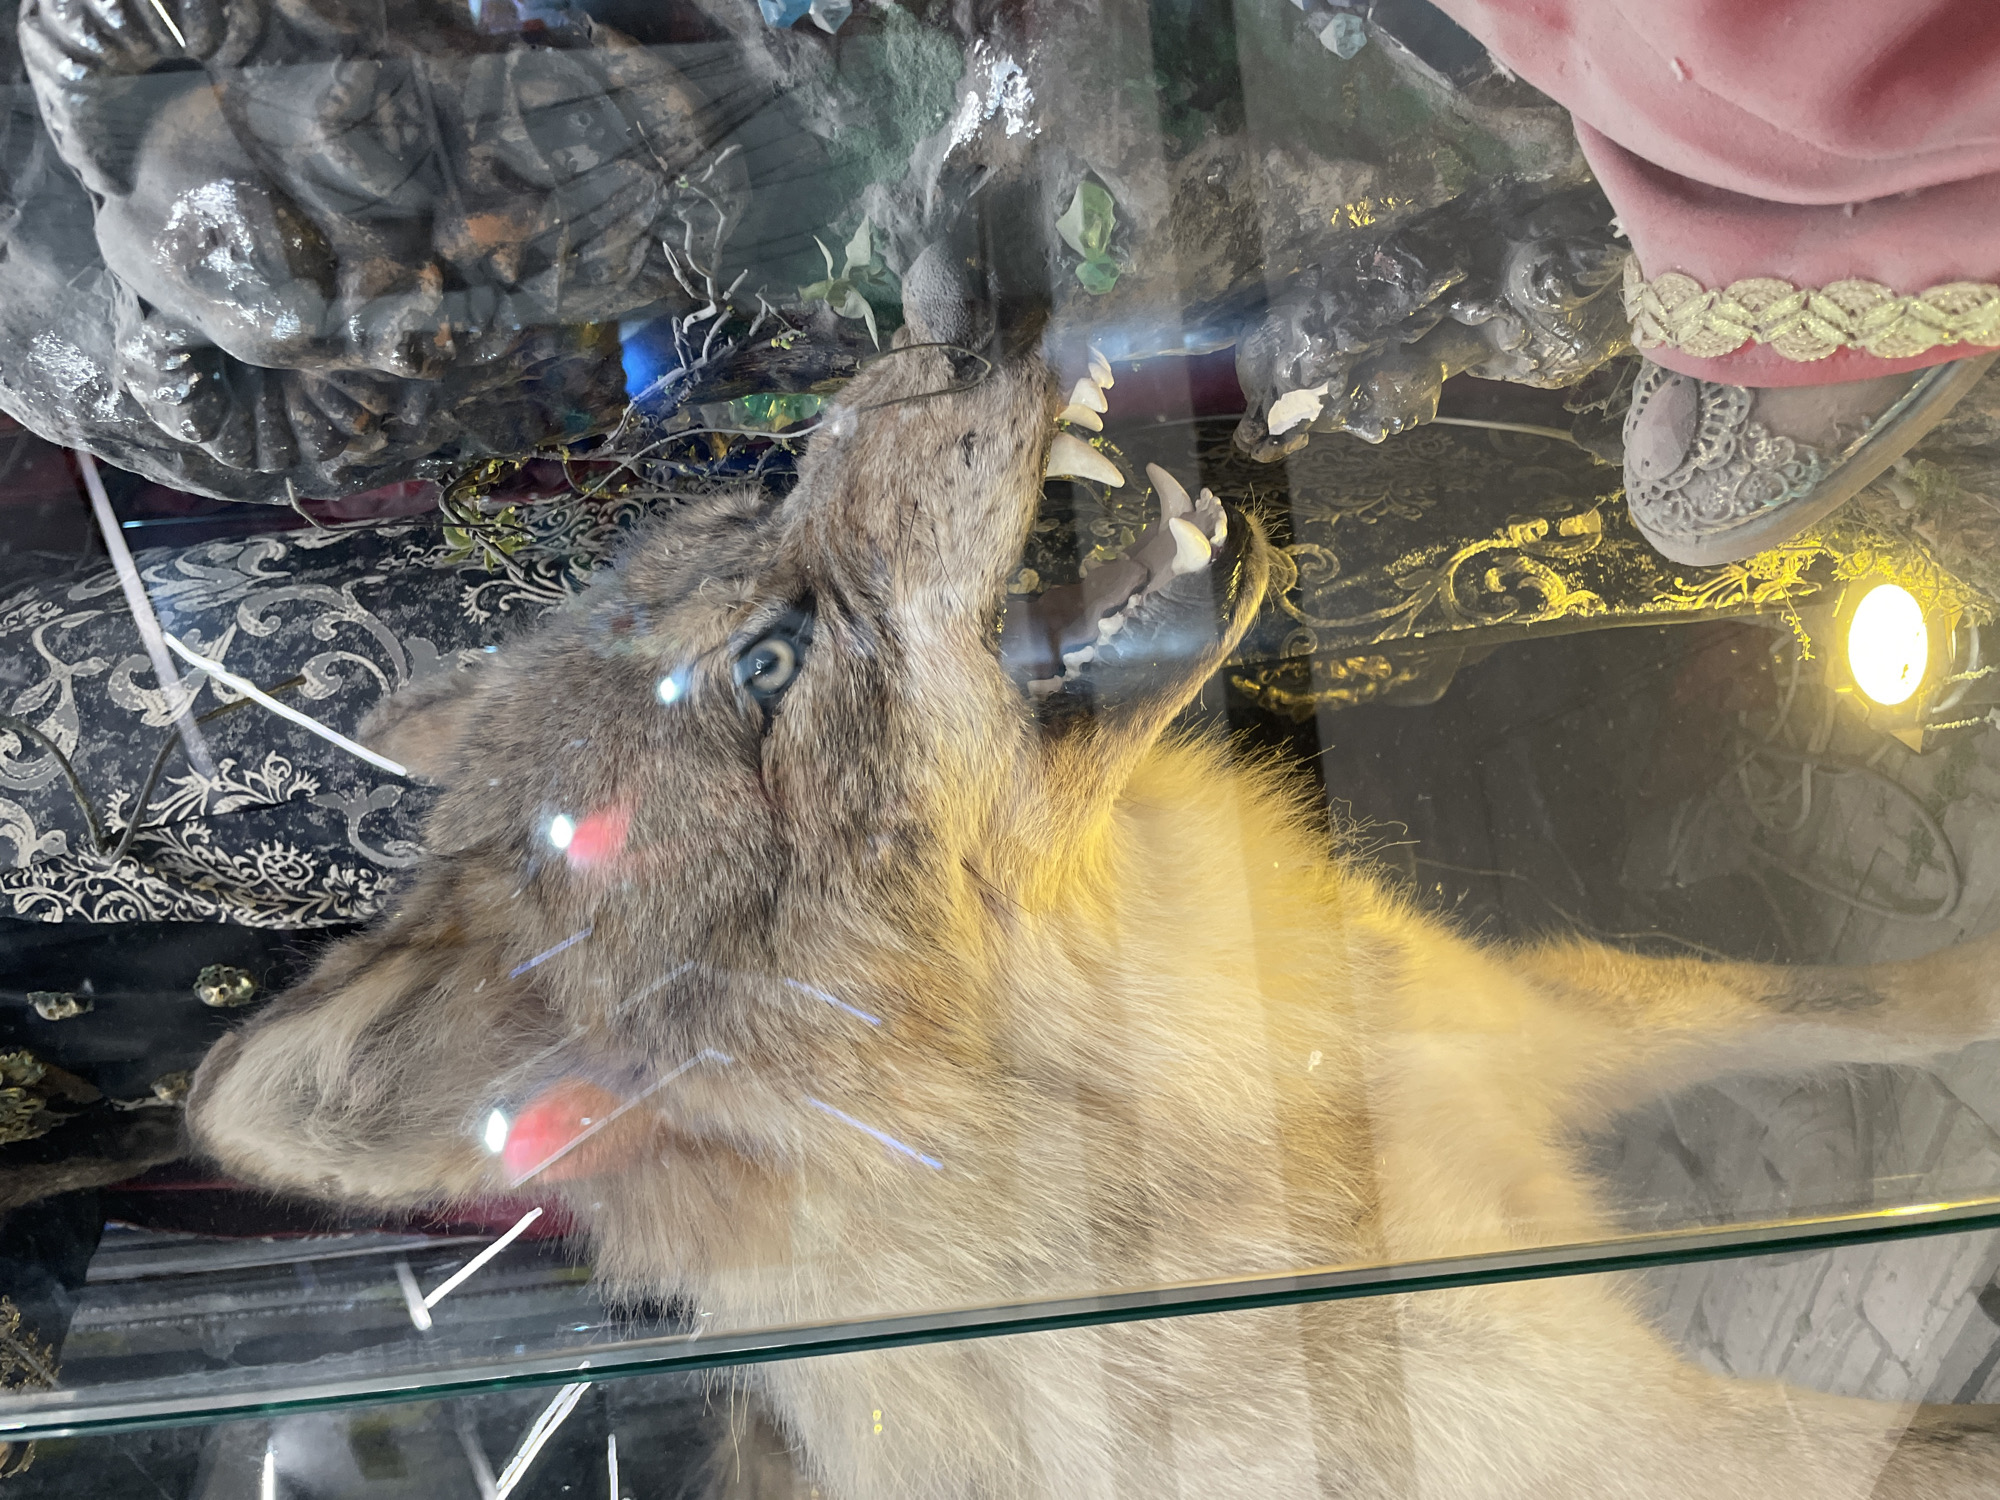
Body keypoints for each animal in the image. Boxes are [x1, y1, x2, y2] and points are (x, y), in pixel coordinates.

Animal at [187, 299, 2000, 1498]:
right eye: (767, 663)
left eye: (756, 499)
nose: (927, 330)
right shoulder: (1654, 1434)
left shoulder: (1554, 1023)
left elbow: (1881, 1000)